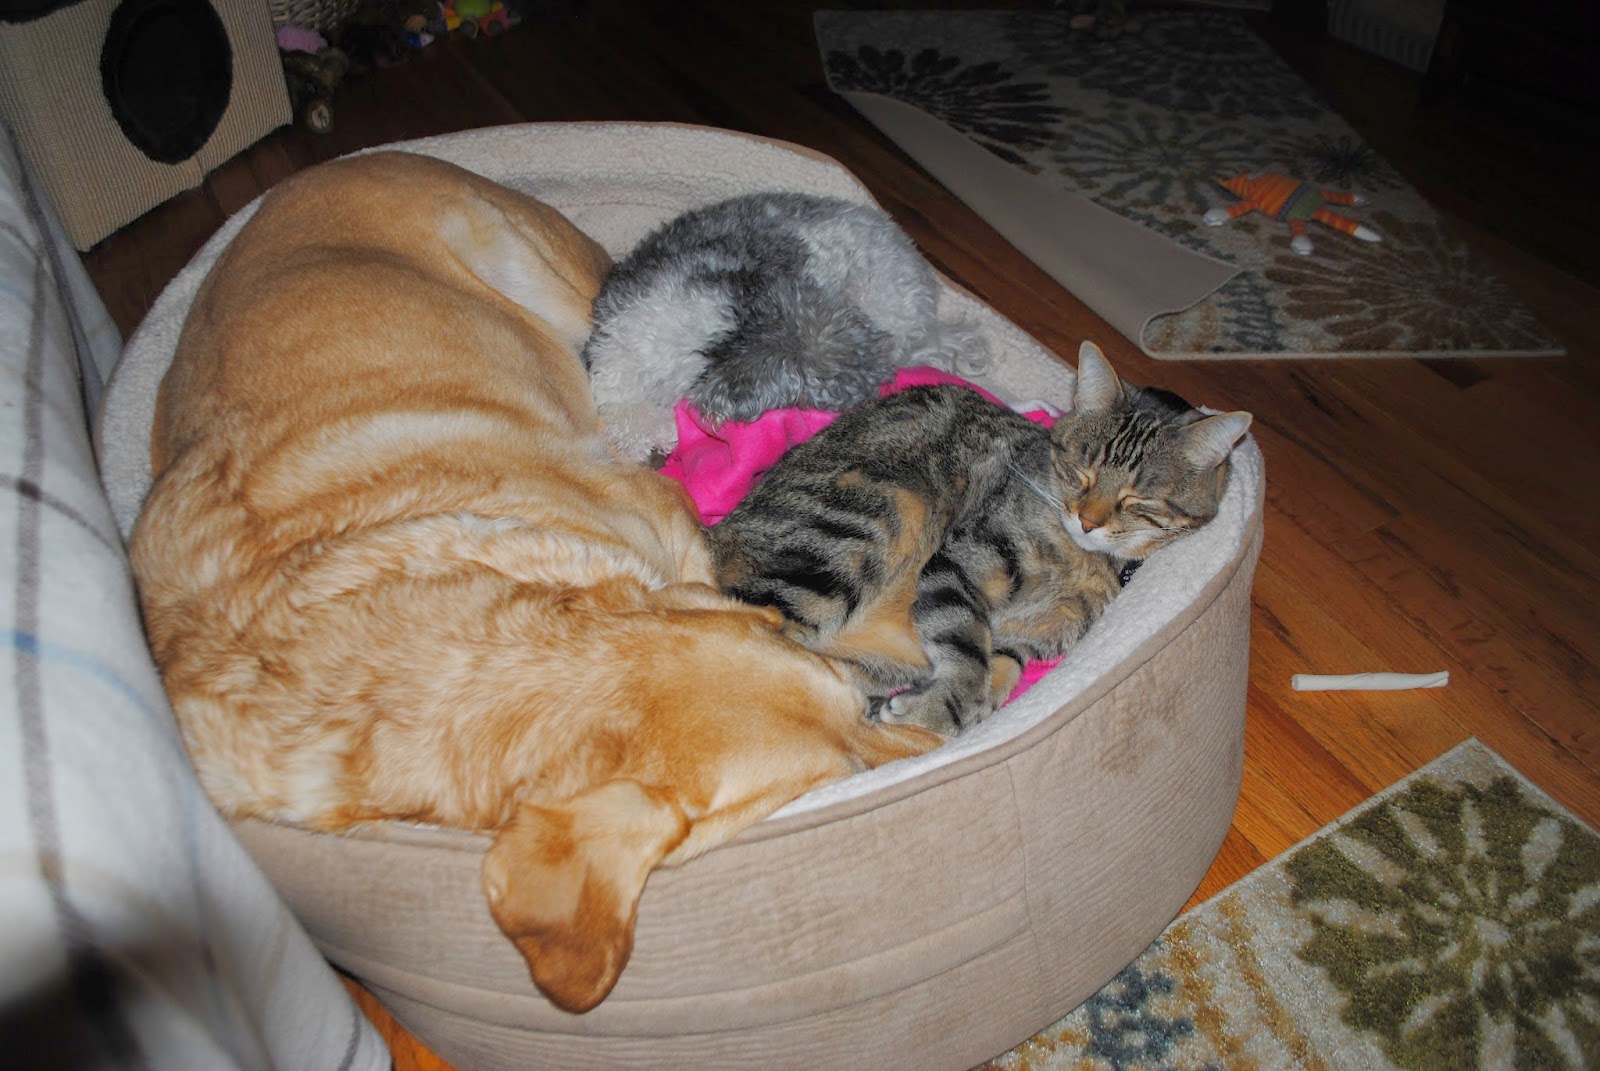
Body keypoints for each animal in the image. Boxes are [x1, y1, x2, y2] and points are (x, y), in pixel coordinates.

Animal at [128, 151, 940, 1015]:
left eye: (858, 709)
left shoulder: (664, 518)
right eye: (833, 773)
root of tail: (326, 170)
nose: (939, 744)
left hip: (554, 281)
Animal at [708, 342, 1252, 735]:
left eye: (1137, 498)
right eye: (1081, 472)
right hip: (871, 519)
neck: (1084, 562)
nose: (1088, 521)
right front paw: (943, 709)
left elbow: (1002, 666)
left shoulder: (1039, 637)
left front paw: (959, 704)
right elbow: (968, 650)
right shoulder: (961, 563)